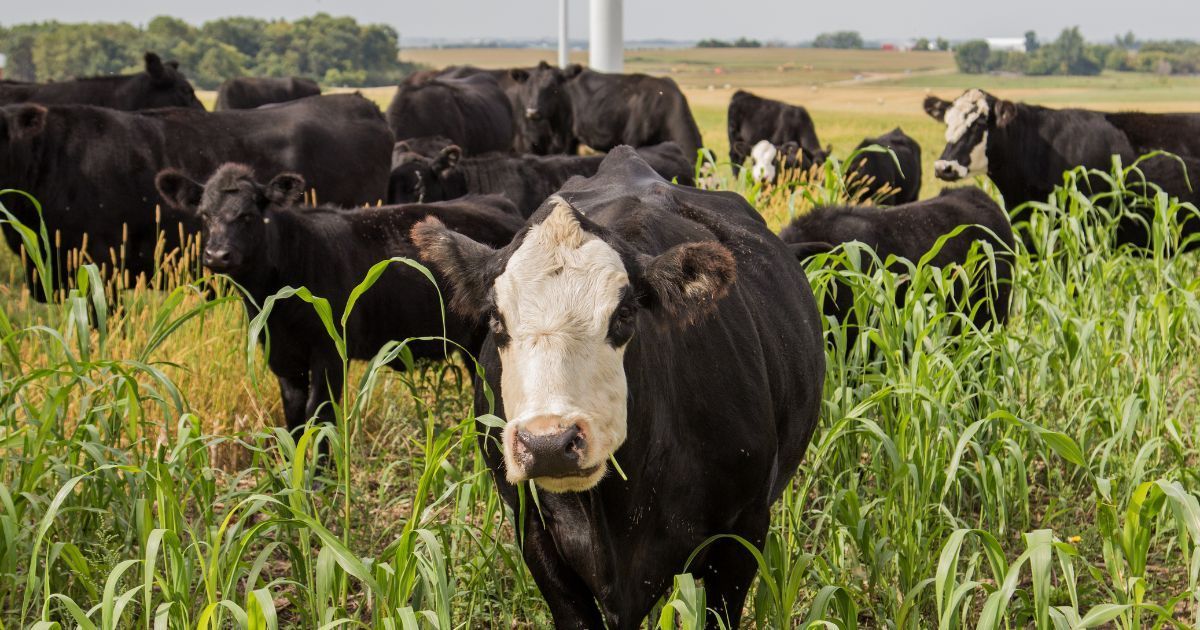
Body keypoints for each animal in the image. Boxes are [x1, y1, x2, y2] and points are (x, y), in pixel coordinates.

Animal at [154, 164, 524, 438]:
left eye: (247, 215)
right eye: (204, 214)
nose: (217, 255)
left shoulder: (329, 353)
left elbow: (321, 419)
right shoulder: (282, 358)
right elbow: (295, 421)